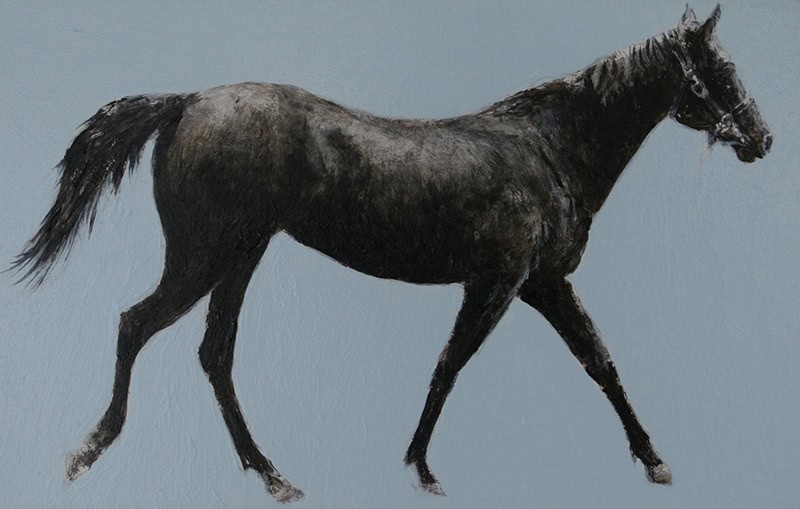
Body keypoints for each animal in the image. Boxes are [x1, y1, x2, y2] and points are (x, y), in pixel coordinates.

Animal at [13, 5, 771, 503]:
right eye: (718, 68)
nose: (761, 139)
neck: (550, 150)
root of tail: (187, 100)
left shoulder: (545, 283)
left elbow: (601, 363)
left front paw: (654, 459)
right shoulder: (498, 283)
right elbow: (450, 365)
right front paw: (422, 468)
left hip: (240, 257)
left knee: (213, 353)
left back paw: (272, 474)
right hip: (204, 257)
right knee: (137, 324)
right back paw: (90, 450)